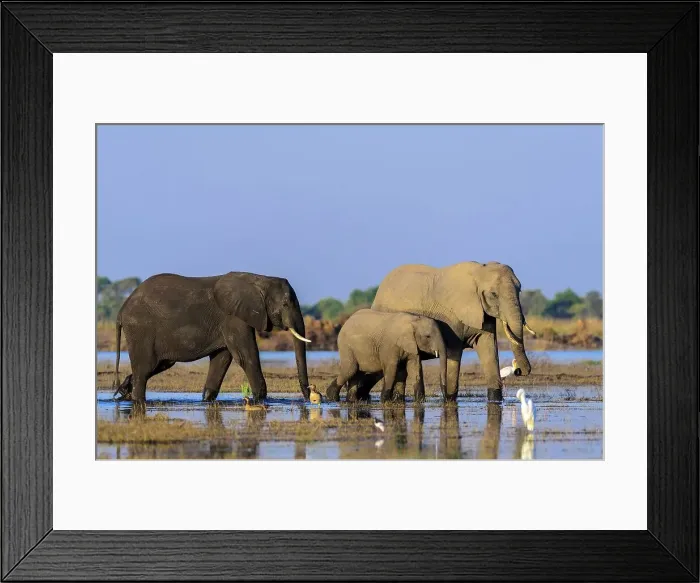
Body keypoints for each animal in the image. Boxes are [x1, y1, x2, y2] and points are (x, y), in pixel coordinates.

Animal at [112, 271, 312, 404]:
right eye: (285, 304)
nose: (310, 398)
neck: (260, 279)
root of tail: (121, 310)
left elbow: (222, 359)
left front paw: (207, 400)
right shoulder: (233, 317)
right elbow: (246, 357)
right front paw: (260, 400)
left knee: (158, 365)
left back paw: (123, 393)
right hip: (140, 330)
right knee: (145, 369)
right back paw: (136, 399)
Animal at [371, 261, 536, 403]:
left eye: (519, 290)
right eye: (494, 294)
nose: (519, 371)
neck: (478, 273)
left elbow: (489, 349)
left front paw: (495, 400)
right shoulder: (451, 316)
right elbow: (454, 352)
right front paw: (449, 399)